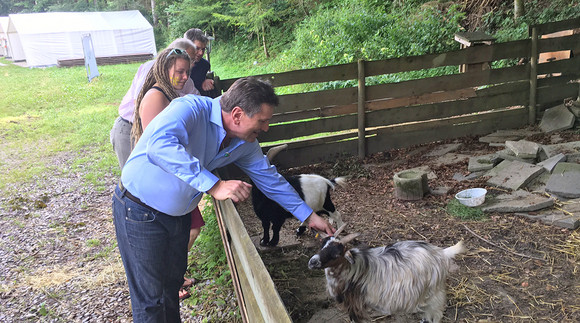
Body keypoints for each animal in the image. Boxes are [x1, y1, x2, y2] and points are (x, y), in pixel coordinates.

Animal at [308, 225, 466, 323]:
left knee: (436, 314)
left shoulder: (355, 305)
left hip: (434, 292)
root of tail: (441, 253)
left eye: (337, 254)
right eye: (322, 245)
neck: (351, 269)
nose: (312, 262)